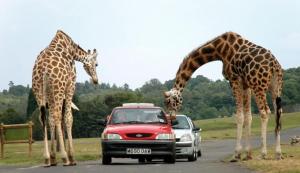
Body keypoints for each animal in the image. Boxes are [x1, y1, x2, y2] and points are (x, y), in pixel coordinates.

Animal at [32, 30, 99, 166]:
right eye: (97, 64)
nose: (96, 80)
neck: (72, 50)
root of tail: (42, 69)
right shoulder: (70, 85)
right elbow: (68, 118)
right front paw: (71, 156)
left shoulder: (50, 93)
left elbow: (51, 119)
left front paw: (53, 157)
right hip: (58, 88)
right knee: (57, 116)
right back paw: (65, 158)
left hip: (39, 91)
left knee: (44, 118)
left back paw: (47, 158)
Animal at [164, 31, 284, 162]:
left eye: (170, 102)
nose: (172, 119)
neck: (219, 50)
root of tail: (274, 64)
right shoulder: (245, 83)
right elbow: (248, 116)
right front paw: (248, 154)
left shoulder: (234, 79)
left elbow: (239, 116)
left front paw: (237, 154)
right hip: (275, 87)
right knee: (278, 112)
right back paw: (278, 153)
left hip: (258, 85)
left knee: (265, 112)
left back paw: (263, 153)